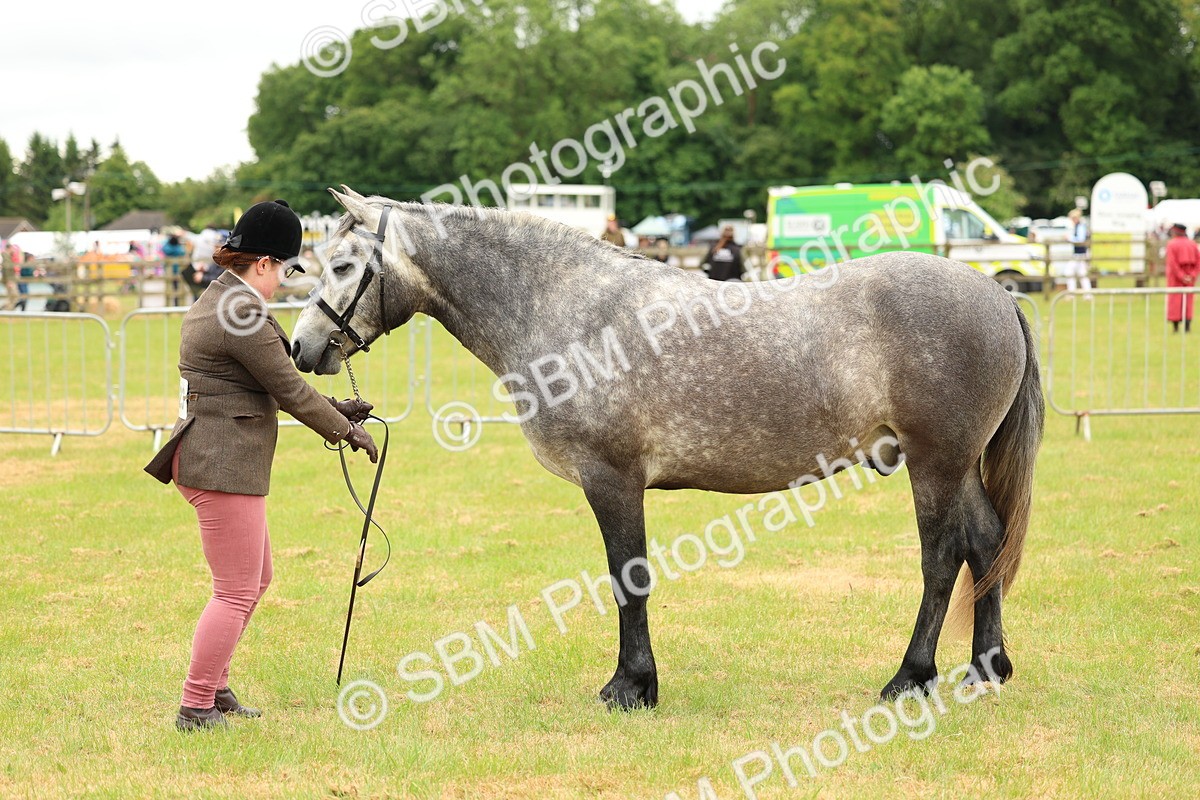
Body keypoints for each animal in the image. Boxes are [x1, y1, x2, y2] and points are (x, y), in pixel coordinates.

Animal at [291, 187, 1044, 709]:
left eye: (343, 263)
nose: (301, 348)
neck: (571, 310)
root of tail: (995, 292)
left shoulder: (612, 478)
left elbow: (629, 578)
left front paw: (631, 687)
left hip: (936, 463)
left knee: (943, 558)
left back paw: (910, 677)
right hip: (958, 466)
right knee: (987, 542)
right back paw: (987, 669)